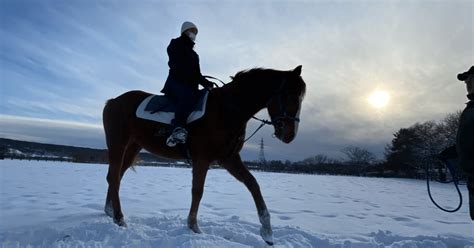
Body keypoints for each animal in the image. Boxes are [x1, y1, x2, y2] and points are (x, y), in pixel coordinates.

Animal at [102, 65, 306, 245]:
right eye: (290, 95)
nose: (290, 135)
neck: (226, 110)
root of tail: (113, 101)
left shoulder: (229, 159)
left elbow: (253, 185)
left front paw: (267, 232)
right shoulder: (203, 159)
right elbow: (198, 191)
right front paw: (193, 227)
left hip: (132, 147)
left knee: (115, 176)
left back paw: (110, 211)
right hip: (118, 144)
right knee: (114, 177)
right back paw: (119, 218)